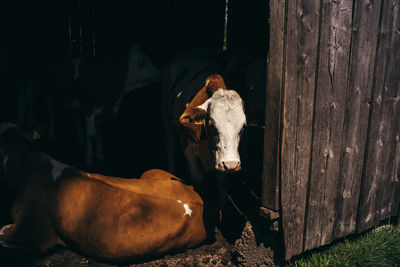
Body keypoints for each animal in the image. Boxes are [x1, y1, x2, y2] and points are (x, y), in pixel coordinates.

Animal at [162, 52, 247, 209]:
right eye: (212, 125)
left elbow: (222, 181)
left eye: (243, 126)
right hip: (165, 119)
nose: (231, 164)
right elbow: (197, 178)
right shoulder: (187, 146)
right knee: (169, 147)